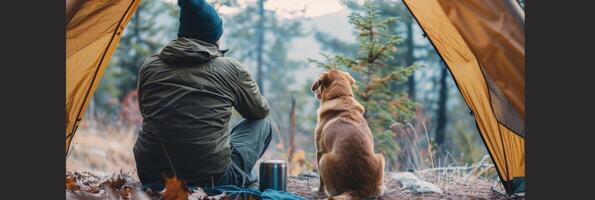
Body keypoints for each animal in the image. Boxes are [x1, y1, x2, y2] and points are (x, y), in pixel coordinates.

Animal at [312, 69, 386, 200]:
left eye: (319, 84)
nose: (315, 91)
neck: (341, 96)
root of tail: (359, 189)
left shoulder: (319, 151)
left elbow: (320, 179)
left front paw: (319, 191)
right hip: (381, 158)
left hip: (324, 159)